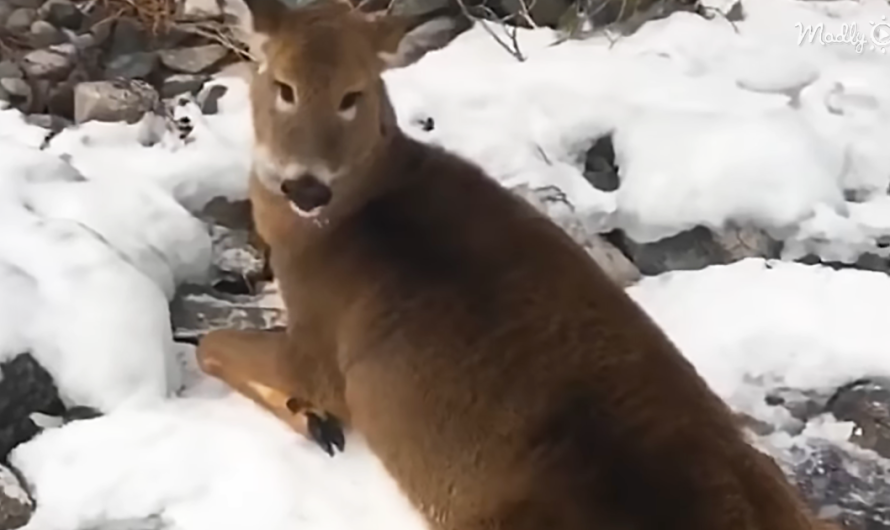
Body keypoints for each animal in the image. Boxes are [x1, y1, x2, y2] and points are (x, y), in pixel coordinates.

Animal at [196, 0, 840, 524]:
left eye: (353, 95)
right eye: (283, 85)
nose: (306, 187)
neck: (341, 220)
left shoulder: (322, 350)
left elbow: (209, 345)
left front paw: (315, 421)